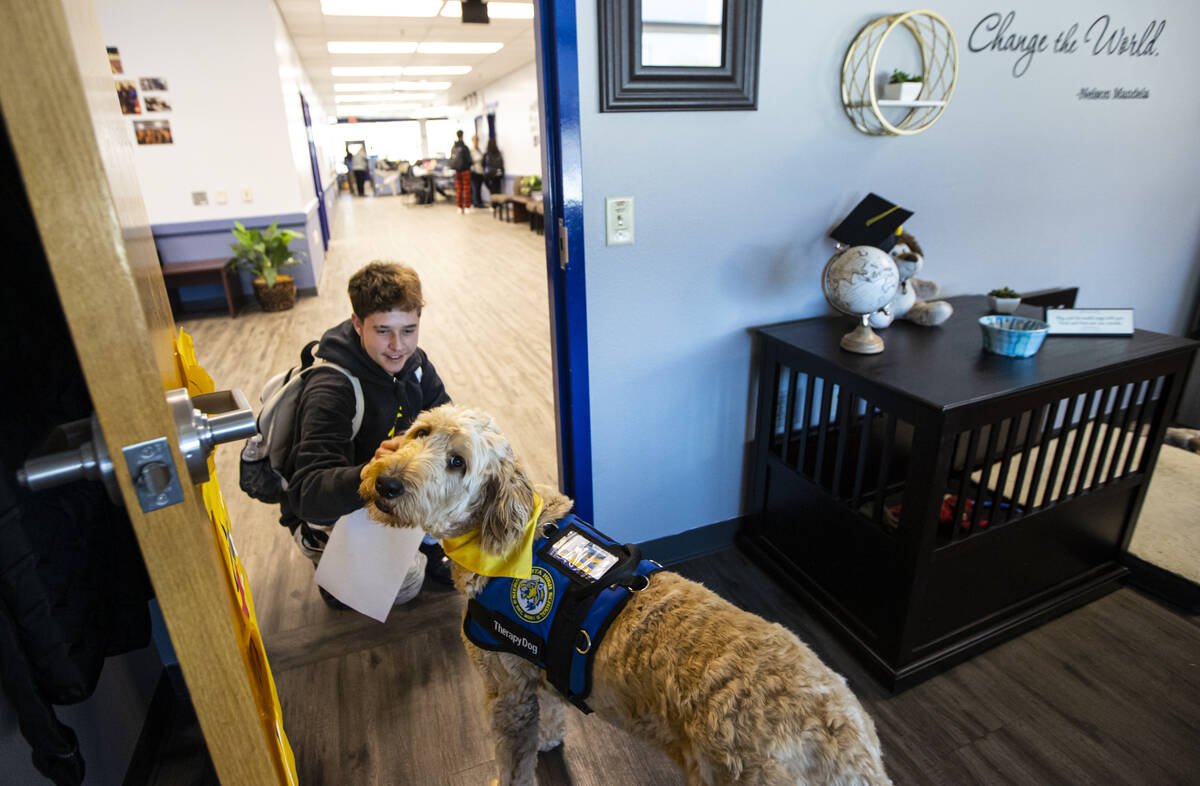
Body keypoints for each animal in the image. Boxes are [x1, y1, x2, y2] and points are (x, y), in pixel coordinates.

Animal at [360, 405, 888, 786]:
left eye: (458, 462)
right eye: (421, 432)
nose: (386, 482)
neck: (513, 536)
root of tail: (846, 743)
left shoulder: (506, 692)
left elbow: (513, 763)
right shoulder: (536, 669)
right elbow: (551, 711)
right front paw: (550, 739)